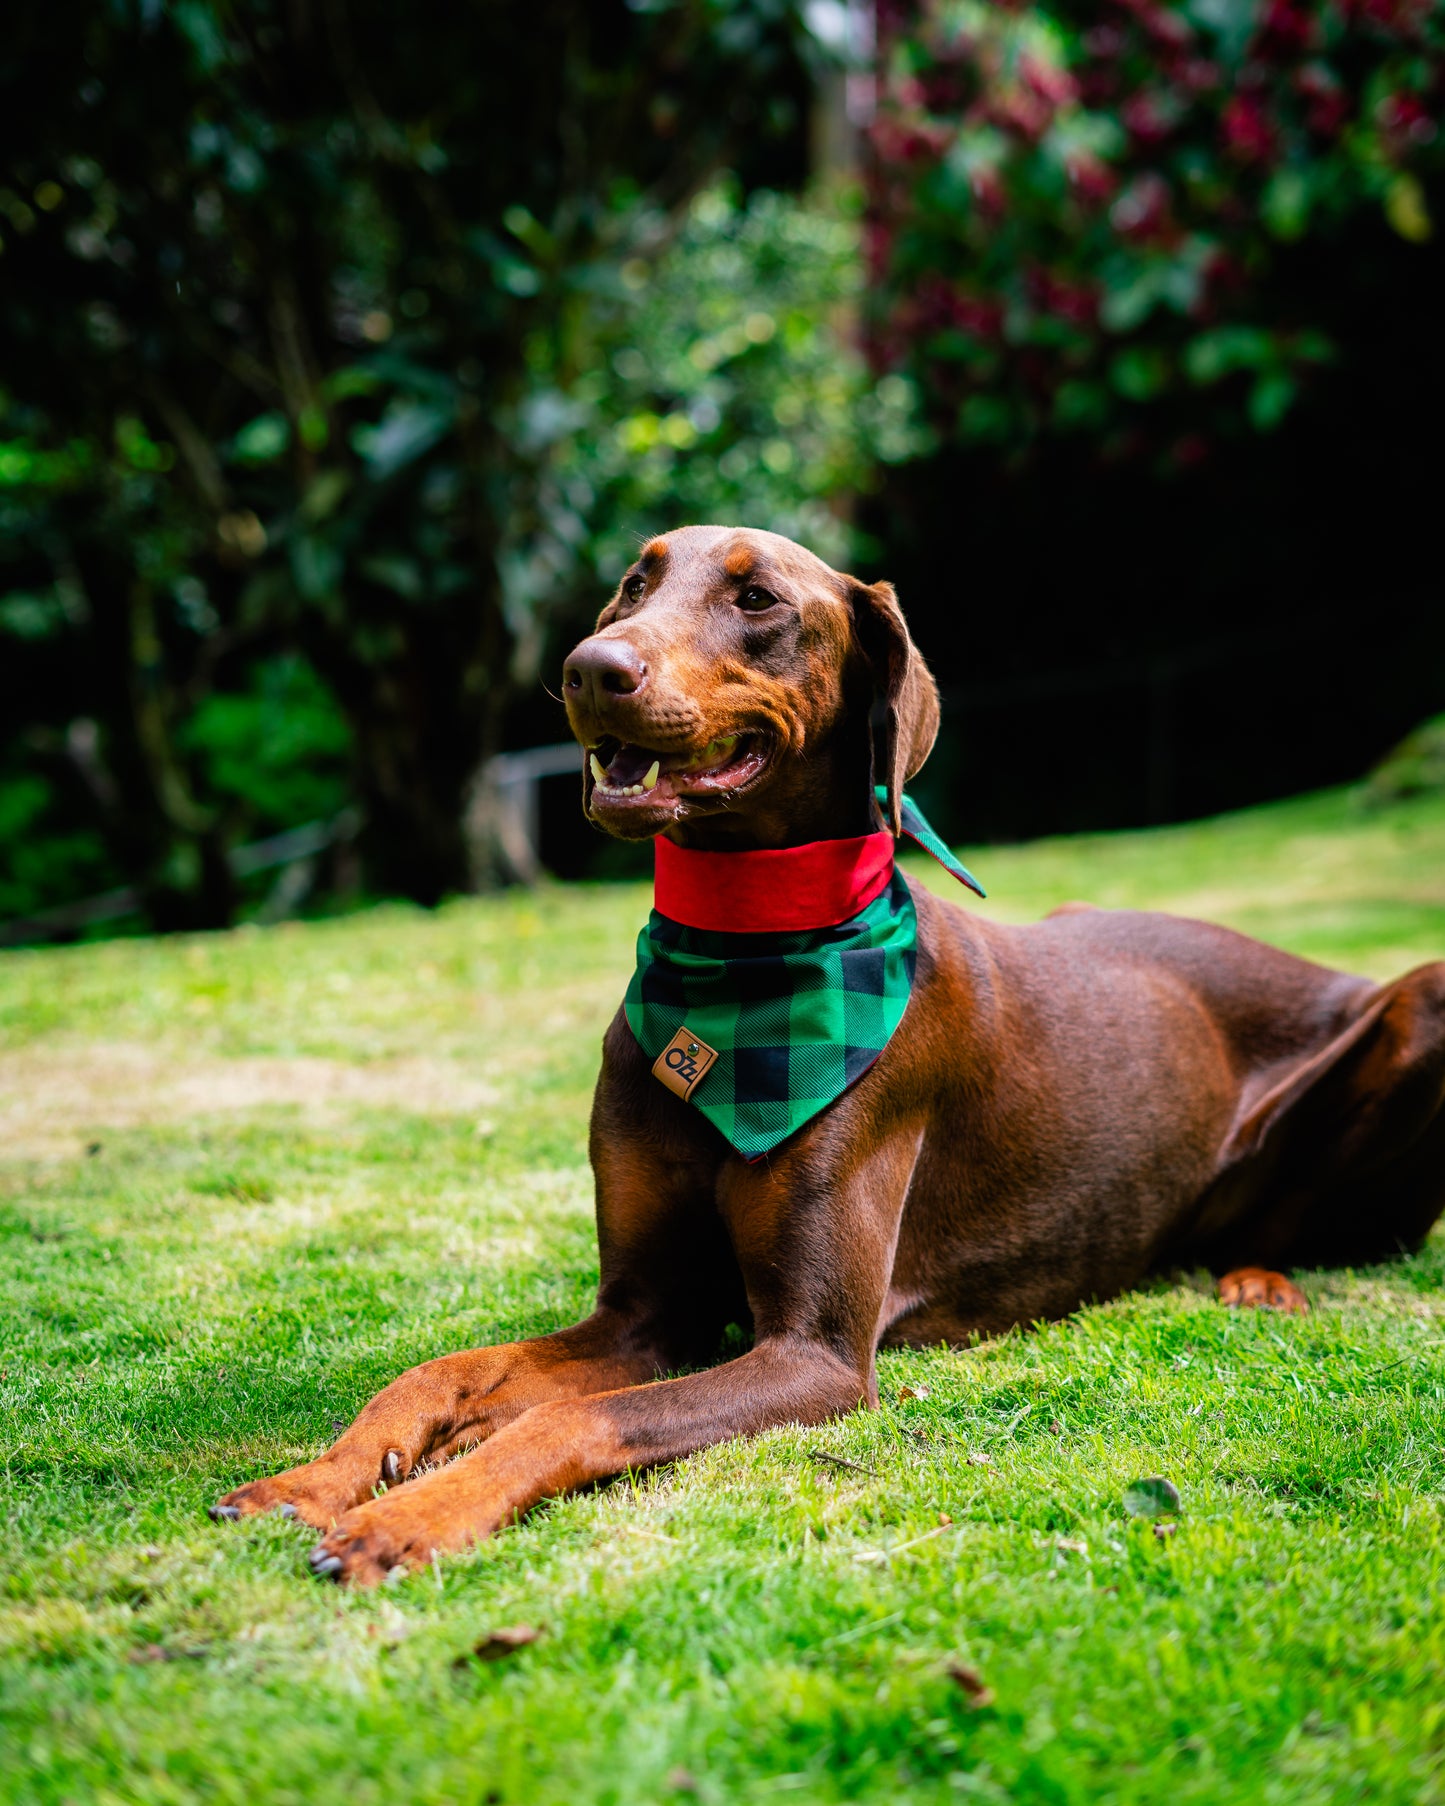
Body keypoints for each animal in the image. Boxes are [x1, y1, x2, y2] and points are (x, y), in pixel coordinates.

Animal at [205, 523, 1445, 1582]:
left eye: (757, 599)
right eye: (633, 583)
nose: (586, 669)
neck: (739, 956)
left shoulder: (815, 1355)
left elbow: (571, 1416)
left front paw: (412, 1514)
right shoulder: (643, 1313)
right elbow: (441, 1372)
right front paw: (317, 1480)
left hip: (1418, 1003)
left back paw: (1256, 1278)